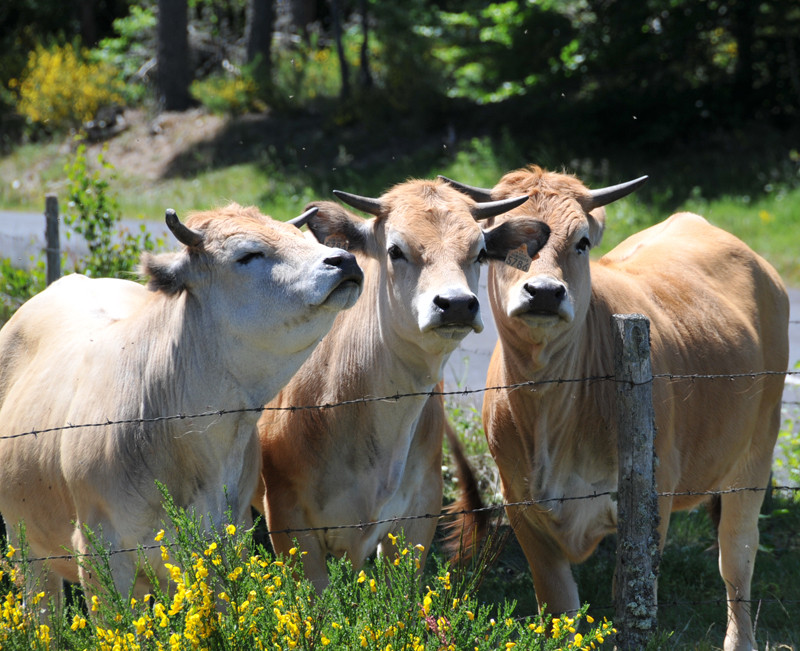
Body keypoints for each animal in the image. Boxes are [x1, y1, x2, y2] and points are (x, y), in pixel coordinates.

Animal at [0, 205, 362, 616]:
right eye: (248, 254)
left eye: (304, 239)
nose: (344, 259)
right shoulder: (99, 556)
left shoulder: (225, 543)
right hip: (27, 551)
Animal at [440, 168, 792, 651]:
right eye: (506, 244)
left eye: (582, 242)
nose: (545, 292)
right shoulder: (520, 507)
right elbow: (560, 607)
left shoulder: (649, 501)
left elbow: (632, 600)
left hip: (756, 453)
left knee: (736, 558)